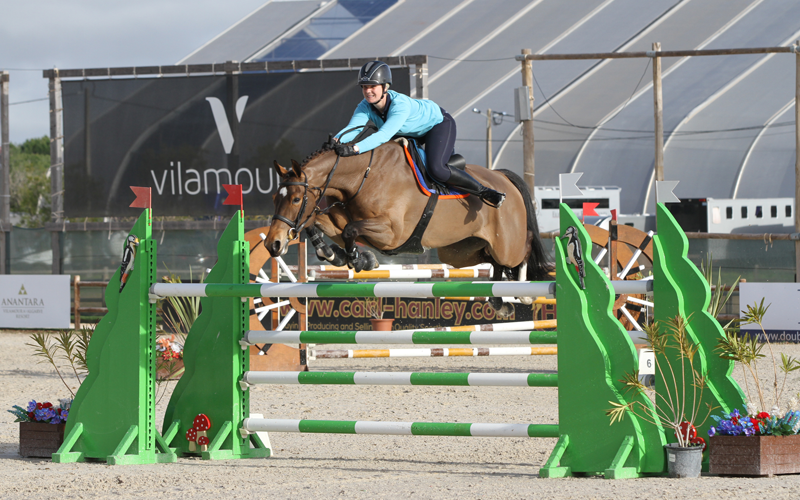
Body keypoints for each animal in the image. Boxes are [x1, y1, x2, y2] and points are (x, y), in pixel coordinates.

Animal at [264, 140, 551, 318]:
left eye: (296, 199)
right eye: (276, 198)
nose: (272, 244)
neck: (363, 176)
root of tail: (502, 177)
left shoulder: (391, 234)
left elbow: (350, 231)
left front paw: (360, 259)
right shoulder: (341, 220)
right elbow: (317, 222)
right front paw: (334, 254)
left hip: (506, 244)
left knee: (523, 248)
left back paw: (524, 293)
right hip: (458, 252)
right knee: (492, 261)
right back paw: (499, 302)